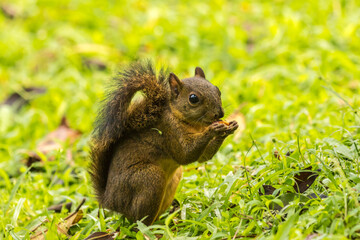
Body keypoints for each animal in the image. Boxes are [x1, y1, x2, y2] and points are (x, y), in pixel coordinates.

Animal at [88, 61, 238, 226]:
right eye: (193, 98)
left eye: (217, 90)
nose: (220, 114)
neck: (192, 124)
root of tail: (109, 201)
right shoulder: (170, 132)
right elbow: (185, 155)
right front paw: (214, 129)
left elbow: (203, 158)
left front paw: (230, 127)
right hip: (149, 178)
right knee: (138, 220)